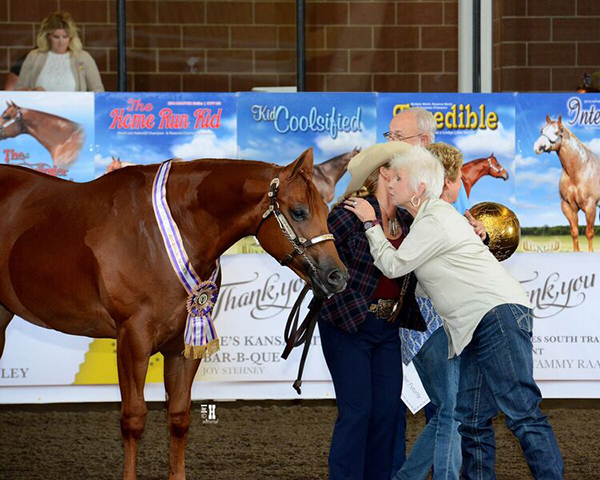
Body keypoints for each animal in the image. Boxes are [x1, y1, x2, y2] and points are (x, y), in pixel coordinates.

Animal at [0, 148, 346, 478]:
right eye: (299, 211)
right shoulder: (132, 340)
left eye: (326, 210)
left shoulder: (185, 343)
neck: (160, 235)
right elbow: (133, 418)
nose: (337, 277)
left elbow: (178, 417)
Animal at [536, 115, 600, 251]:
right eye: (542, 130)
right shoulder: (567, 206)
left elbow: (589, 233)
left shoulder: (590, 205)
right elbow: (574, 232)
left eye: (556, 132)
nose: (538, 147)